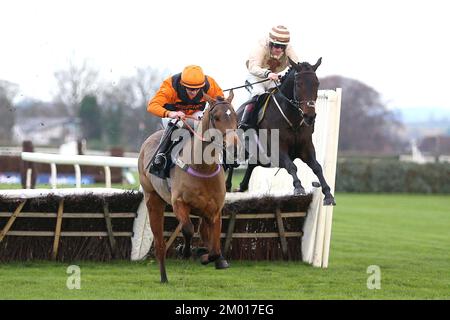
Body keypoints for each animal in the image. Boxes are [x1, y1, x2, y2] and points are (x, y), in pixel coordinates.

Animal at [138, 90, 239, 282]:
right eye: (216, 117)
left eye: (235, 116)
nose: (233, 147)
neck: (203, 167)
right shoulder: (179, 203)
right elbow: (187, 229)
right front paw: (184, 251)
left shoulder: (214, 211)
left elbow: (215, 249)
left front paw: (209, 257)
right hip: (153, 199)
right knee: (160, 243)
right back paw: (164, 277)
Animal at [227, 57, 336, 206]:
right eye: (298, 84)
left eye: (317, 83)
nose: (310, 116)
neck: (293, 121)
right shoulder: (276, 150)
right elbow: (291, 166)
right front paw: (298, 187)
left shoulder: (306, 148)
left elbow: (317, 167)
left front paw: (328, 194)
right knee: (230, 164)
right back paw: (227, 185)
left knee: (250, 165)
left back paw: (242, 186)